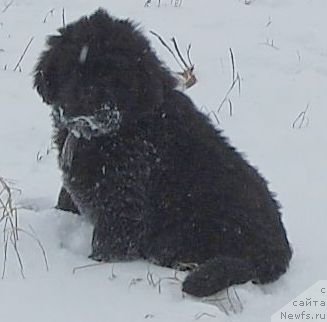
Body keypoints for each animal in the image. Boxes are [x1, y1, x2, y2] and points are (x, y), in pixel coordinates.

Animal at [34, 9, 294, 296]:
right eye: (72, 68)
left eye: (114, 74)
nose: (85, 100)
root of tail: (277, 254)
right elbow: (66, 199)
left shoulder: (122, 202)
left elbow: (109, 243)